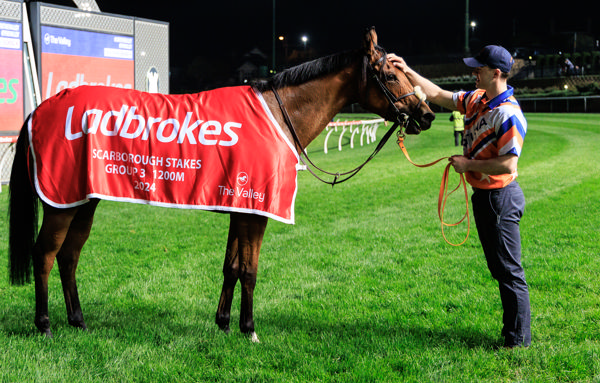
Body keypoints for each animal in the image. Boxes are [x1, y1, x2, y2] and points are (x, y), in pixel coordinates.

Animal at [8, 27, 432, 342]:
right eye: (390, 75)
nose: (426, 114)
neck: (277, 114)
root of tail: (43, 107)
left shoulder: (239, 205)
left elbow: (231, 267)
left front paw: (224, 323)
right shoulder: (256, 209)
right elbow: (250, 270)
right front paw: (249, 329)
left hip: (84, 201)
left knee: (69, 256)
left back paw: (78, 321)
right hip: (60, 202)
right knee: (45, 255)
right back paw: (44, 326)